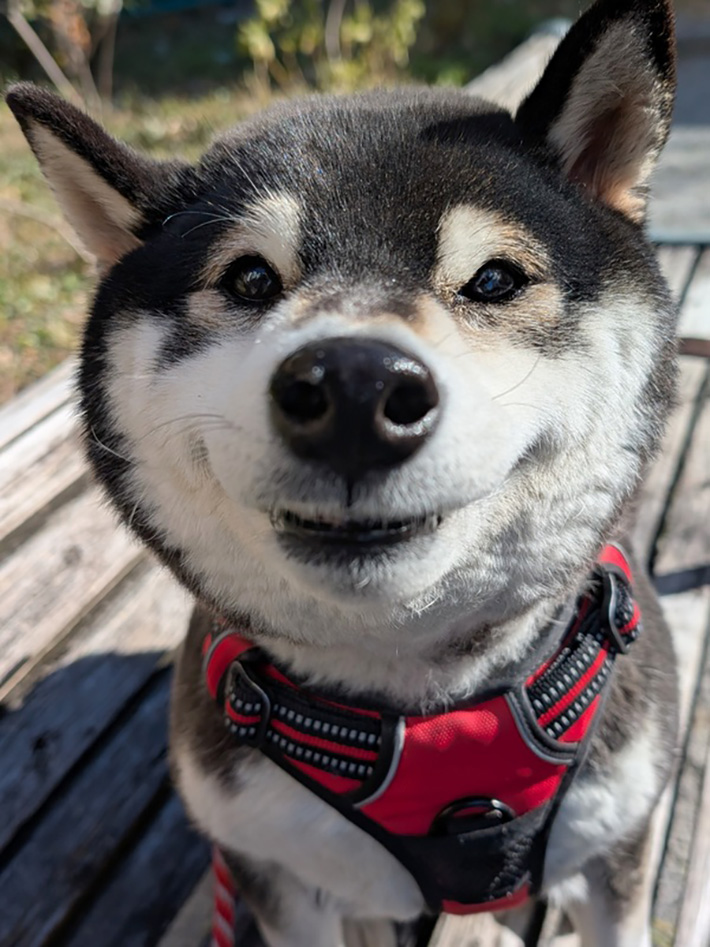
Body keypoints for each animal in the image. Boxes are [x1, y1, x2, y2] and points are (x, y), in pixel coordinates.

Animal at [8, 3, 680, 944]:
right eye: (250, 277)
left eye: (494, 279)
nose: (356, 390)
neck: (425, 718)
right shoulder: (279, 874)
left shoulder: (615, 849)